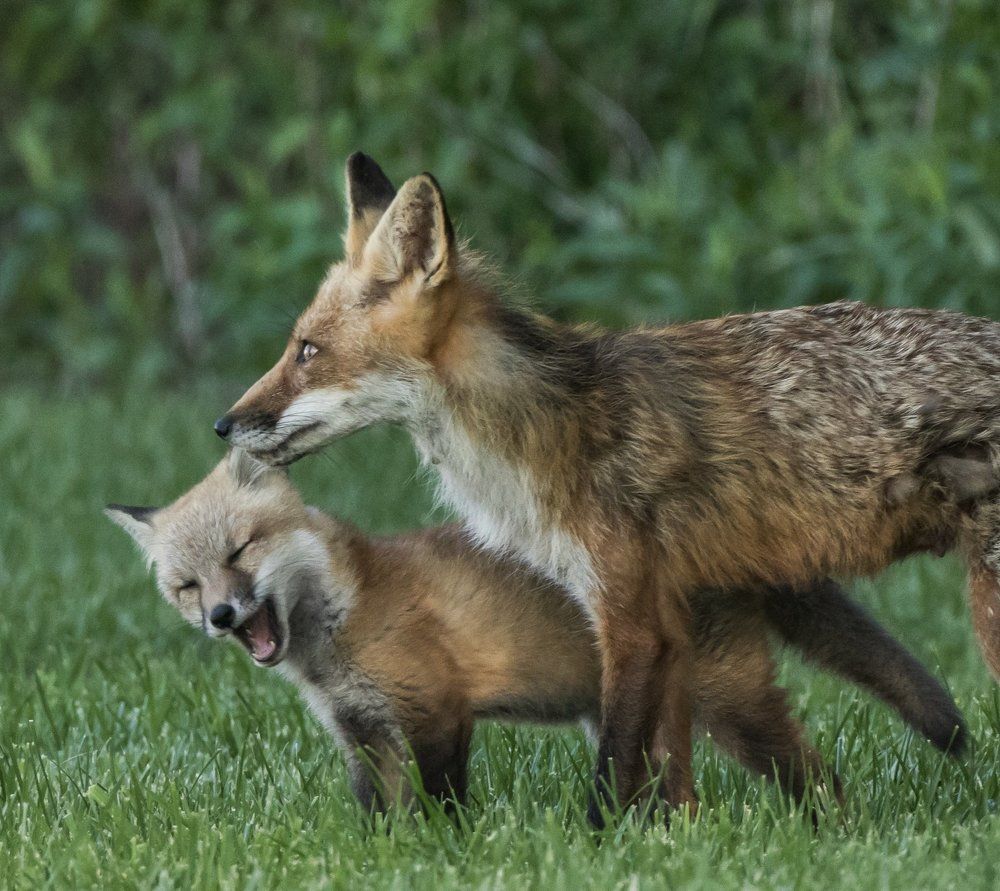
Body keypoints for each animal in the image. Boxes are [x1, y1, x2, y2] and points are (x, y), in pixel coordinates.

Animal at [106, 449, 965, 813]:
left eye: (239, 551)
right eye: (187, 585)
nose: (221, 616)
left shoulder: (438, 709)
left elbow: (443, 804)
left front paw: (446, 854)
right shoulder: (362, 733)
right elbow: (379, 815)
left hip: (735, 710)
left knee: (815, 772)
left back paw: (831, 828)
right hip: (625, 715)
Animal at [214, 153, 1000, 822]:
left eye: (307, 352)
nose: (225, 424)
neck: (549, 430)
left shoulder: (630, 617)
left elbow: (612, 770)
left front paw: (597, 849)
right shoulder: (670, 620)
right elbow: (670, 780)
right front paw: (681, 846)